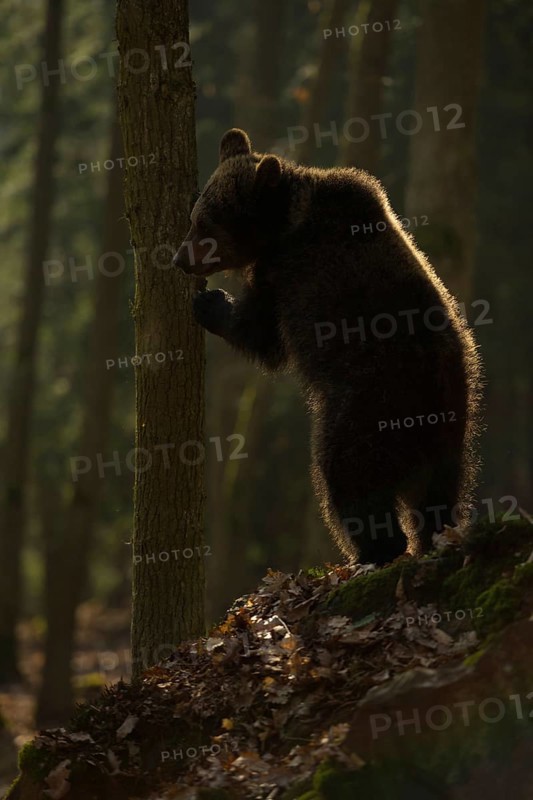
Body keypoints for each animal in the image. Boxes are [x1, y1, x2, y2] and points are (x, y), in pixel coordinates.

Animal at [174, 128, 483, 566]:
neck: (284, 224)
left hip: (367, 407)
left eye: (207, 225)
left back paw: (373, 550)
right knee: (440, 495)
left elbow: (263, 336)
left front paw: (211, 303)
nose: (180, 260)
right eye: (194, 219)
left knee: (346, 474)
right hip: (457, 425)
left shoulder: (289, 275)